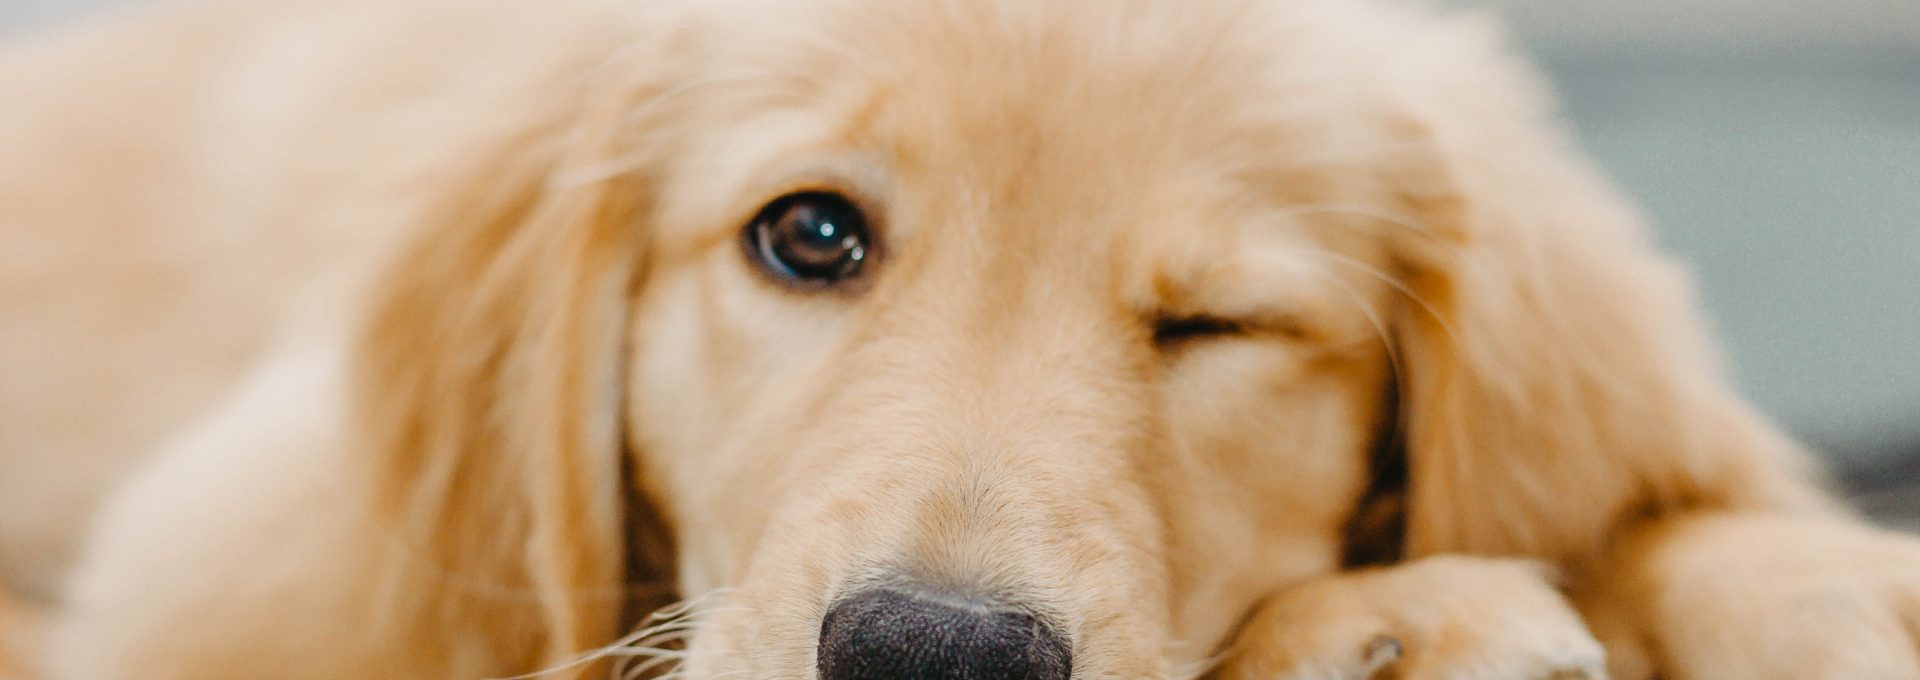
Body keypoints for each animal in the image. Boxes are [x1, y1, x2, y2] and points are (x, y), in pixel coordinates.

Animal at [3, 0, 1920, 676]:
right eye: (811, 236)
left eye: (1217, 323)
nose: (931, 657)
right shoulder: (228, 591)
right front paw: (1394, 621)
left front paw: (1813, 586)